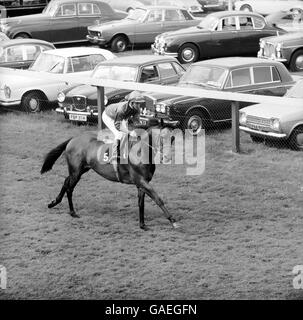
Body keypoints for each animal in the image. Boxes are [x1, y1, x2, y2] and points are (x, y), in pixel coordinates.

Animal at [39, 124, 179, 230]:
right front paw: (173, 220)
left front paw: (142, 225)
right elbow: (158, 199)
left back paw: (54, 202)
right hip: (76, 171)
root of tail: (73, 139)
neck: (140, 153)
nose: (167, 157)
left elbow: (141, 203)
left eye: (172, 138)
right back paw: (73, 212)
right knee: (69, 188)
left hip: (80, 170)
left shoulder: (142, 184)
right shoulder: (141, 181)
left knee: (66, 181)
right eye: (162, 137)